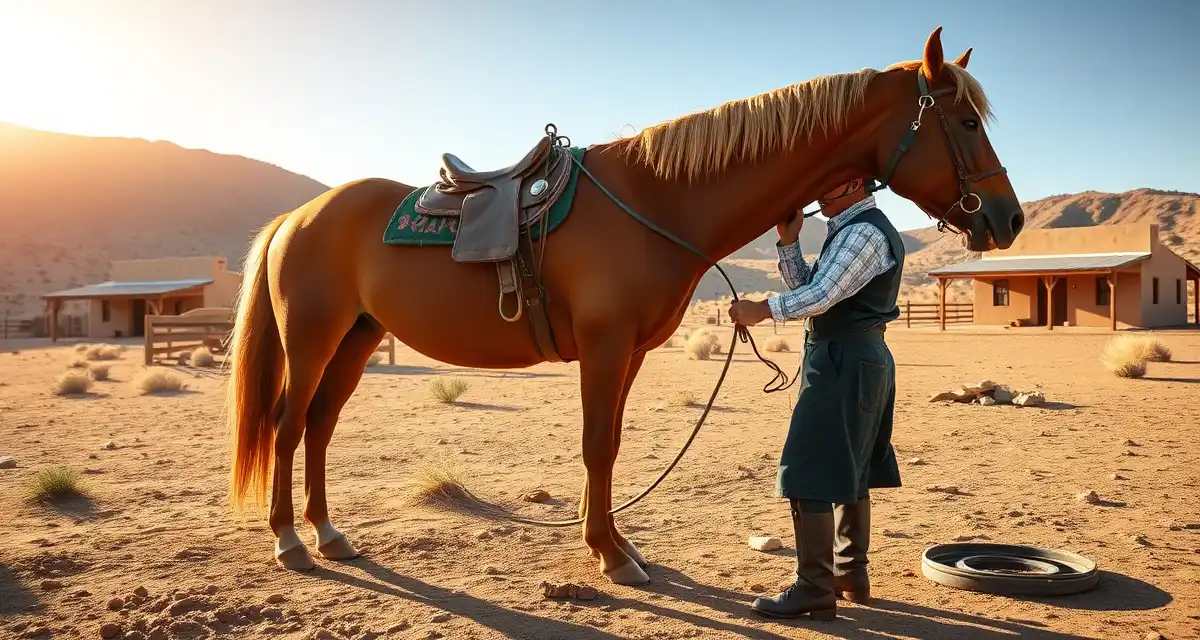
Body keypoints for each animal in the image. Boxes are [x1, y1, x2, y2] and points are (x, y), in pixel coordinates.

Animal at [225, 26, 1024, 586]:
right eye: (965, 122)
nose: (1008, 219)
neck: (656, 201)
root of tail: (298, 217)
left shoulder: (631, 351)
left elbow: (606, 442)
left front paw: (607, 540)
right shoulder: (605, 346)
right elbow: (596, 445)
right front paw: (610, 556)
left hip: (357, 338)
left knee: (320, 426)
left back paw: (329, 534)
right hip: (313, 337)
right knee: (289, 424)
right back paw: (291, 541)